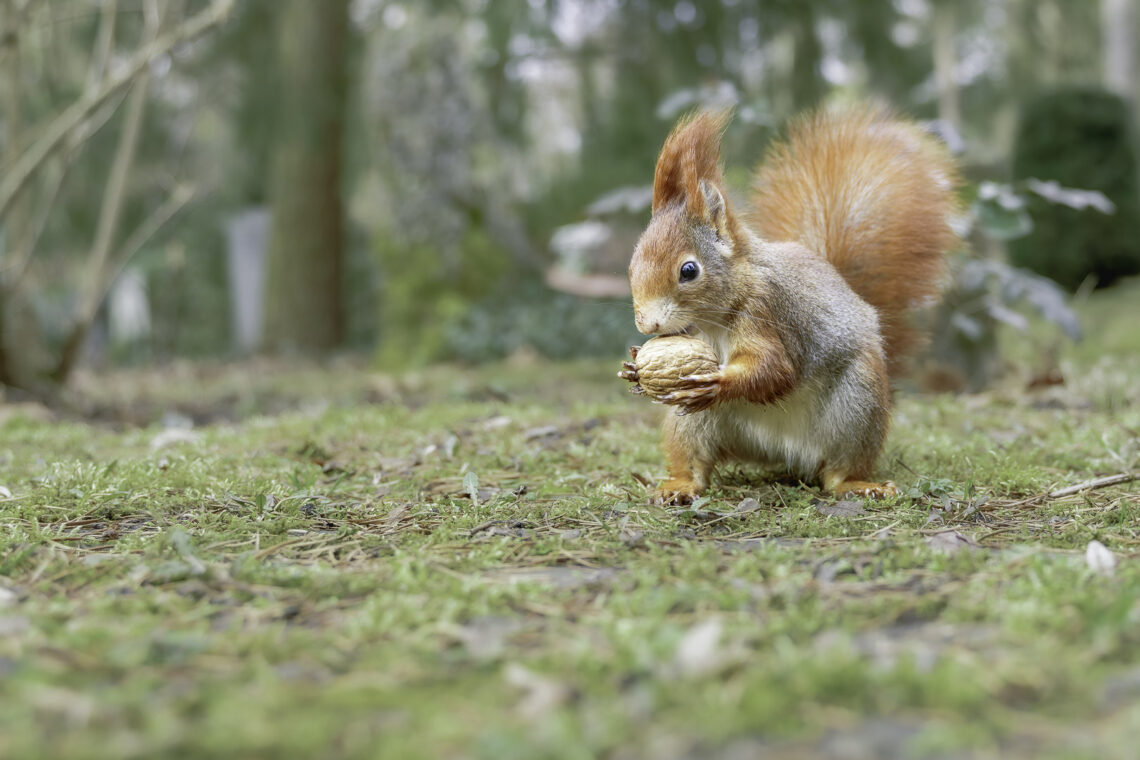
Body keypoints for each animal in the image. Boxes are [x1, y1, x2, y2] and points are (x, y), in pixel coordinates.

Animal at [619, 103, 960, 504]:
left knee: (837, 473)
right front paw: (634, 368)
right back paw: (680, 486)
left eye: (689, 270)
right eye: (631, 265)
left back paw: (859, 484)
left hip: (857, 405)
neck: (715, 318)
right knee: (694, 462)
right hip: (691, 423)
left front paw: (719, 380)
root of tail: (778, 451)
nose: (648, 324)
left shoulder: (768, 311)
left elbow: (775, 369)